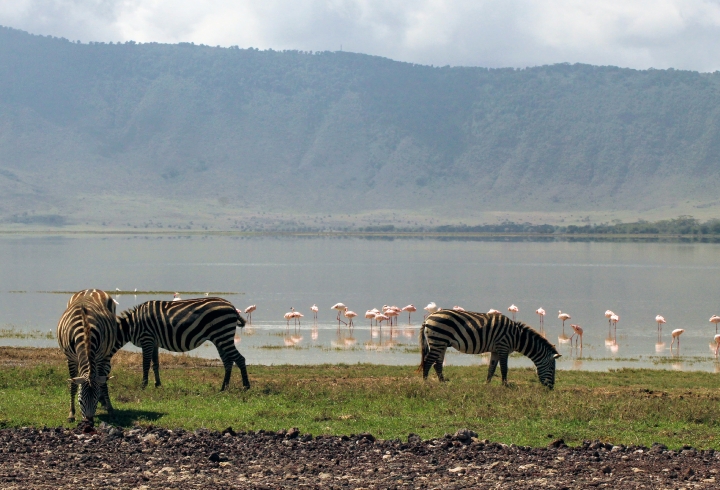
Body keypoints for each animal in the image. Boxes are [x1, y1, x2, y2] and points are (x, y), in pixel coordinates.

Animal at [58, 290, 120, 424]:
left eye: (95, 400)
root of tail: (92, 289)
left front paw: (110, 410)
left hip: (106, 354)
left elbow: (102, 384)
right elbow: (73, 385)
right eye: (80, 401)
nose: (89, 422)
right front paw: (71, 414)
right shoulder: (71, 358)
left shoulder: (100, 357)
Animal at [117, 298, 250, 390]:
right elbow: (155, 364)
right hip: (220, 338)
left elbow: (145, 364)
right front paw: (158, 384)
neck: (131, 325)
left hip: (223, 334)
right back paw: (223, 388)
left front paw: (143, 385)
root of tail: (232, 307)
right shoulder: (154, 343)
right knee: (228, 362)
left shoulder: (147, 339)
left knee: (240, 359)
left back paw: (246, 386)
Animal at [420, 312, 560, 388]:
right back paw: (425, 382)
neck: (516, 337)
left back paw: (442, 382)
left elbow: (491, 368)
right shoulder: (503, 347)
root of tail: (429, 317)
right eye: (552, 369)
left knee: (437, 363)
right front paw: (505, 385)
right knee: (428, 361)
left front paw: (487, 384)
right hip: (438, 340)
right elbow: (504, 368)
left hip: (441, 343)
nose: (551, 388)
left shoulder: (495, 350)